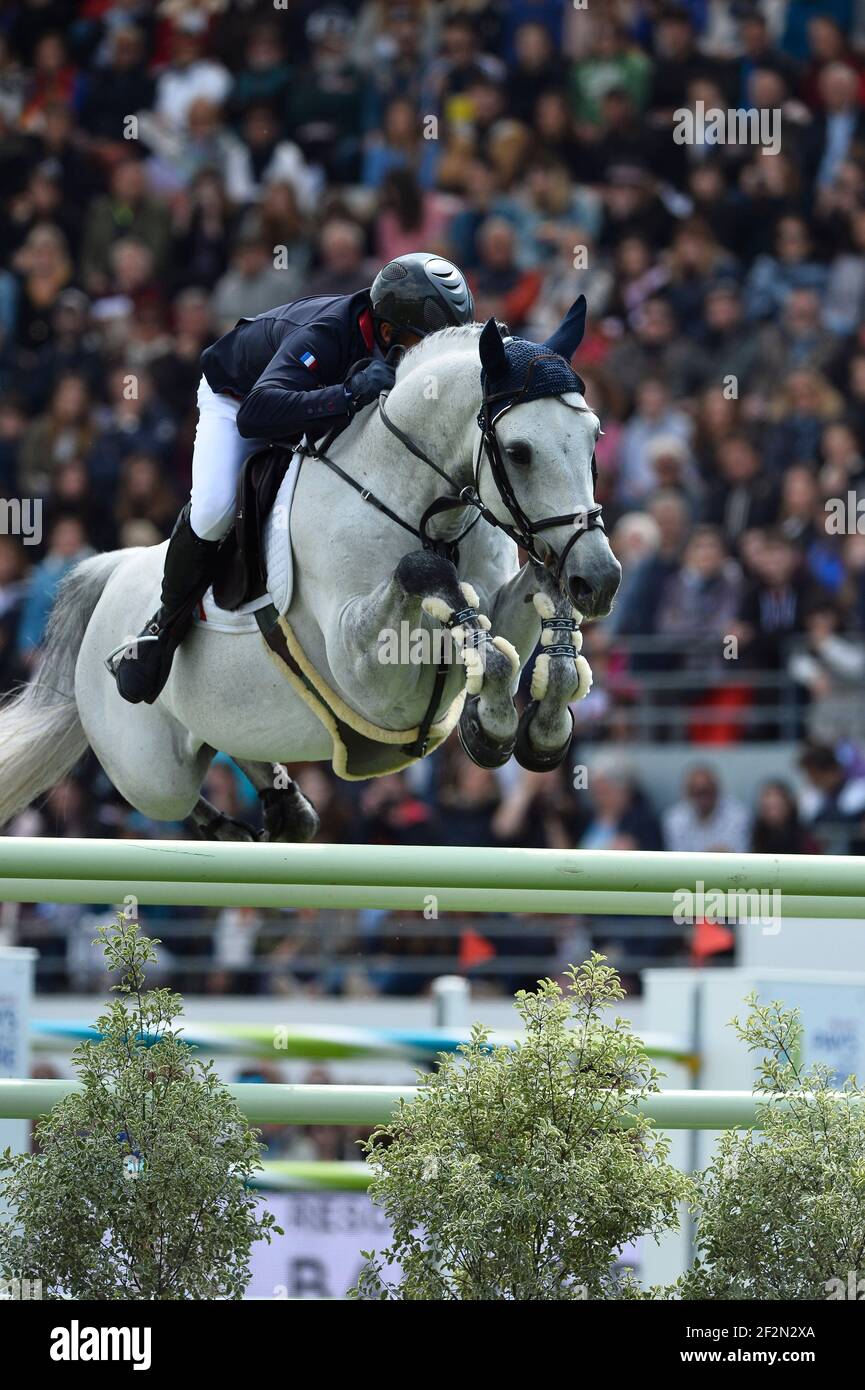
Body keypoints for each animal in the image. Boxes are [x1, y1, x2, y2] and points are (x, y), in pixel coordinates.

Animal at [0, 315, 623, 834]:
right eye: (518, 451)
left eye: (595, 437)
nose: (601, 580)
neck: (427, 509)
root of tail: (114, 571)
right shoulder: (367, 670)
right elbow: (424, 576)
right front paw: (493, 726)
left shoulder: (498, 605)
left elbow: (534, 602)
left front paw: (544, 723)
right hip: (149, 772)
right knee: (173, 793)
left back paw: (284, 811)